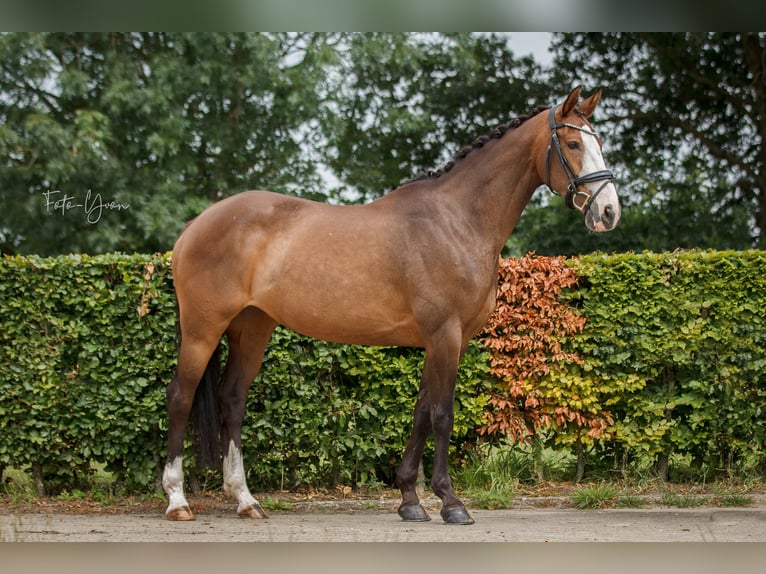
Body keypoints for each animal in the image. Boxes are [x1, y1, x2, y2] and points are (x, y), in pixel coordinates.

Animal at [165, 86, 620, 528]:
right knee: (180, 396)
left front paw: (410, 500)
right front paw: (451, 502)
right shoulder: (445, 335)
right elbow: (442, 415)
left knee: (232, 400)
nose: (608, 211)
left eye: (600, 143)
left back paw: (245, 500)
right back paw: (177, 500)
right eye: (573, 143)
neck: (456, 221)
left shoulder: (444, 341)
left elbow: (421, 414)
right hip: (204, 329)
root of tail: (196, 224)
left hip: (252, 326)